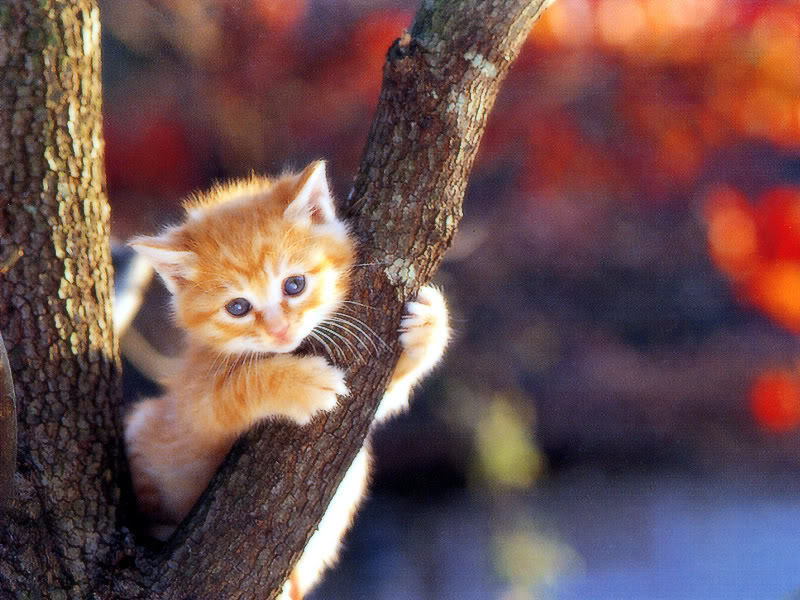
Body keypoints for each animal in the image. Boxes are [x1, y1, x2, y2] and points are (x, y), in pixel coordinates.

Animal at [123, 161, 450, 600]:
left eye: (294, 285)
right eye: (238, 307)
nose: (280, 332)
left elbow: (384, 397)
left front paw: (428, 327)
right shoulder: (190, 408)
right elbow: (235, 389)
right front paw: (301, 382)